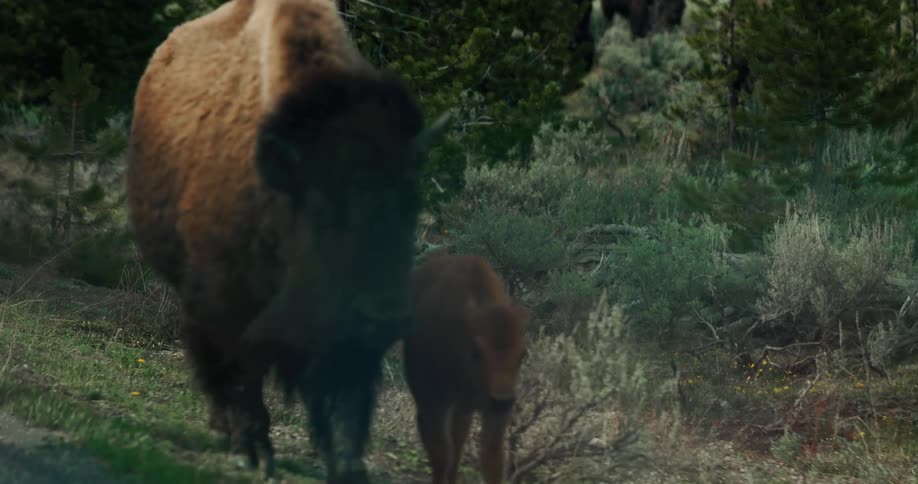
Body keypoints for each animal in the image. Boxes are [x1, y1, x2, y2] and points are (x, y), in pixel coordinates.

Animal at [126, 0, 449, 482]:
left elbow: (345, 394)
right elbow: (242, 372)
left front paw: (348, 465)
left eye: (411, 202)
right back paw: (227, 431)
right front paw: (254, 451)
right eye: (324, 208)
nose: (384, 312)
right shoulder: (229, 300)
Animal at [403, 254, 529, 484]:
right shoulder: (433, 403)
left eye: (522, 354)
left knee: (458, 442)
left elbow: (491, 461)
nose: (502, 400)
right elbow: (441, 455)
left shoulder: (493, 413)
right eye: (477, 351)